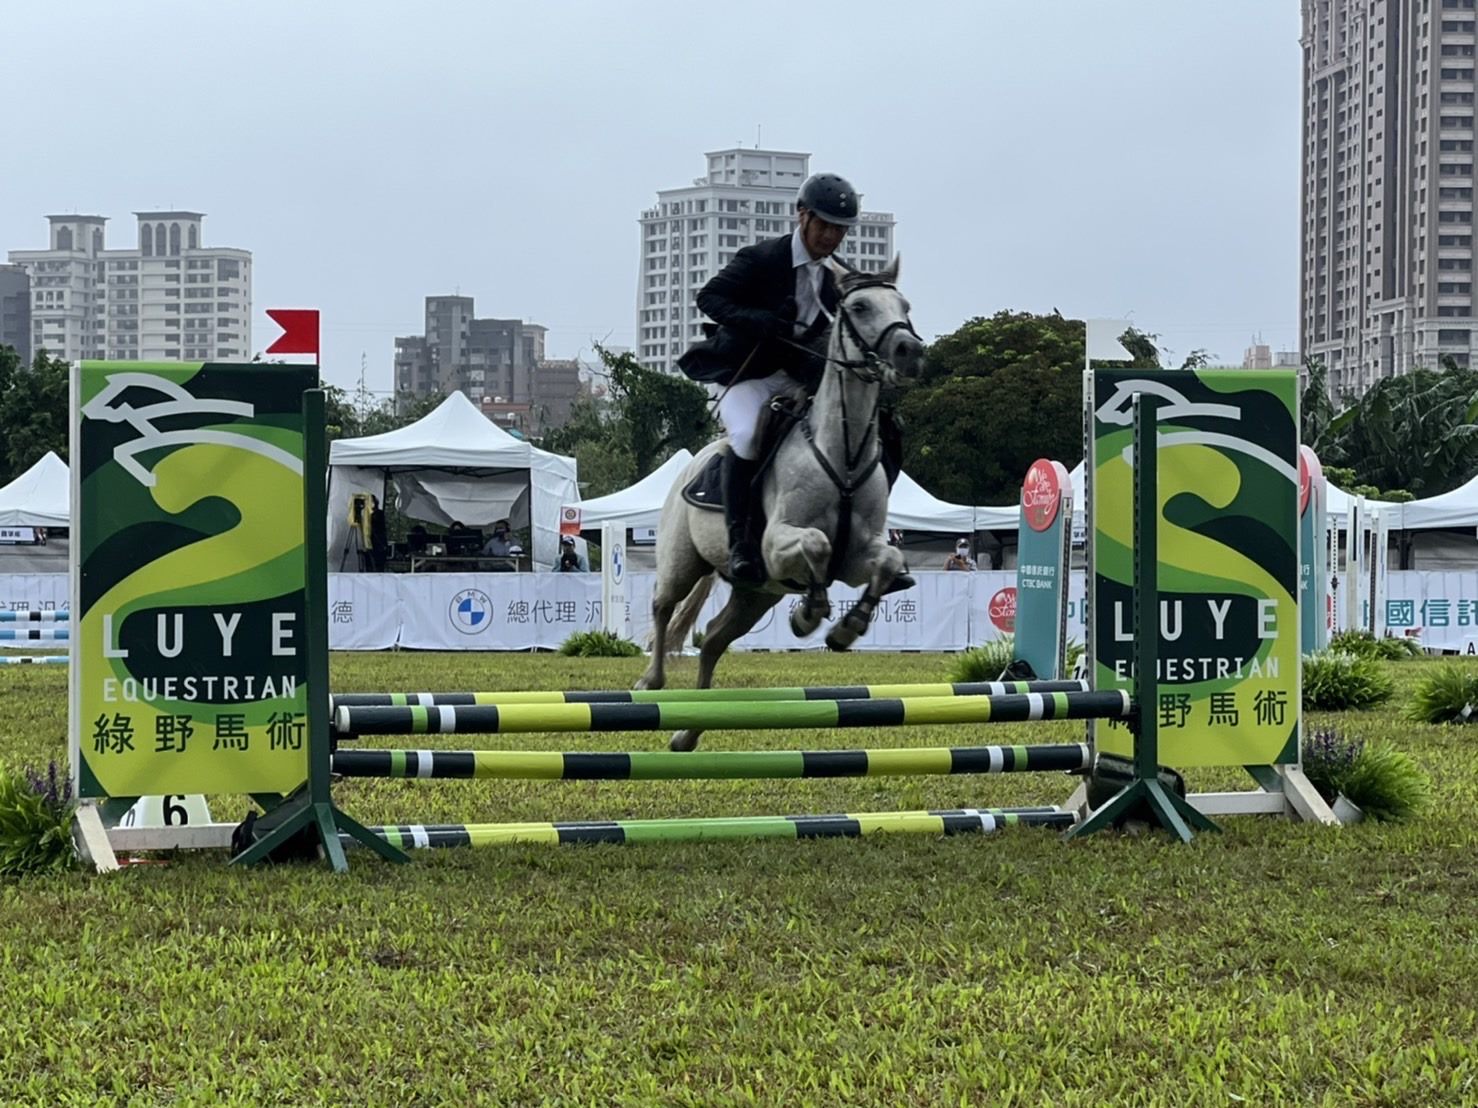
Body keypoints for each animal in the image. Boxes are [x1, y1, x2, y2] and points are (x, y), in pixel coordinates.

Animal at [635, 255, 922, 750]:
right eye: (860, 306)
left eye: (904, 305)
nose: (910, 350)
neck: (842, 453)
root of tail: (693, 465)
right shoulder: (776, 545)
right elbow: (816, 546)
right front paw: (809, 615)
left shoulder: (858, 557)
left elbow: (885, 561)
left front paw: (847, 628)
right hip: (682, 561)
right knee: (663, 607)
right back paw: (651, 682)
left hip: (757, 595)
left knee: (713, 640)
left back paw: (688, 734)